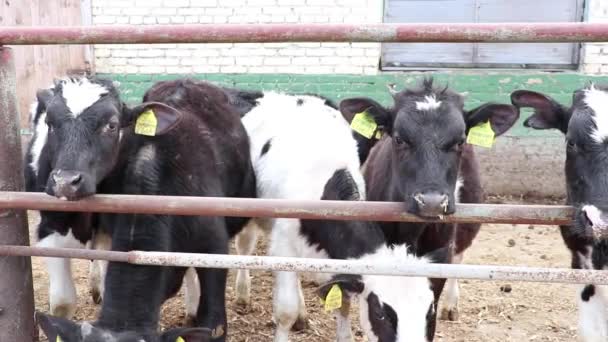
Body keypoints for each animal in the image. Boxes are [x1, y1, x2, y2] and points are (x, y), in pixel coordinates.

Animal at [235, 92, 444, 340]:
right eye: (381, 313)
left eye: (430, 313)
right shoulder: (283, 248)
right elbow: (286, 311)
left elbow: (342, 303)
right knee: (245, 247)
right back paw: (242, 295)